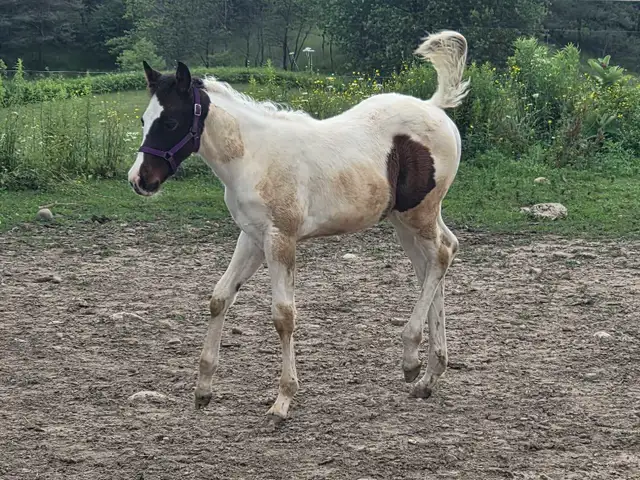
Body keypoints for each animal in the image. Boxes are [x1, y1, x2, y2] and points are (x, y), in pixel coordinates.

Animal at [127, 30, 470, 422]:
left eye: (170, 122)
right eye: (143, 120)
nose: (139, 180)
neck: (253, 157)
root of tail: (435, 108)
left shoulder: (281, 238)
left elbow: (283, 316)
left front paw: (283, 400)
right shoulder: (252, 237)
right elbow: (219, 298)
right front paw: (203, 391)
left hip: (419, 213)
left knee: (441, 254)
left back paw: (411, 358)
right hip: (404, 221)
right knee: (433, 263)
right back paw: (429, 376)